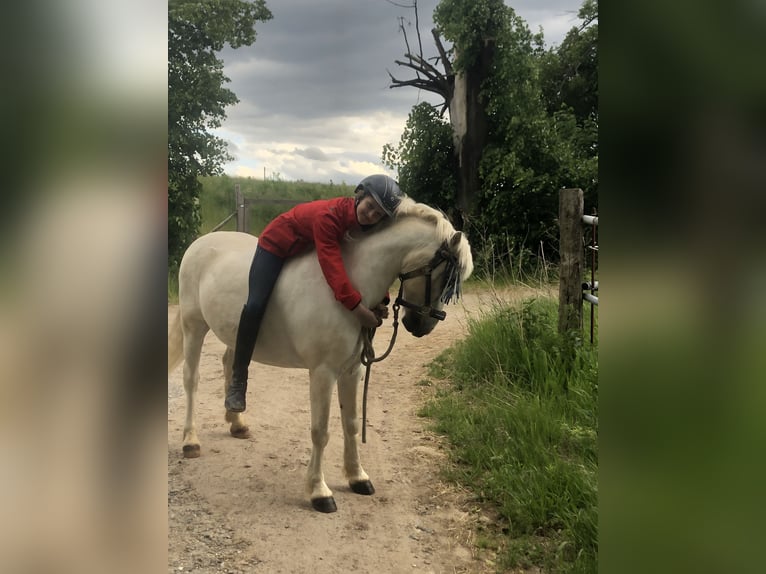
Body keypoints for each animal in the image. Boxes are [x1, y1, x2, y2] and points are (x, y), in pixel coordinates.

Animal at [166, 198, 474, 512]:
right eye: (444, 278)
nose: (422, 326)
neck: (351, 282)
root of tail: (199, 243)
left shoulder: (352, 370)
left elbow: (351, 423)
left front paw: (357, 477)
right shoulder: (323, 373)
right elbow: (321, 431)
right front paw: (319, 491)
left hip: (234, 332)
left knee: (231, 363)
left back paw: (236, 421)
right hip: (194, 327)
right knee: (191, 380)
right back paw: (190, 441)